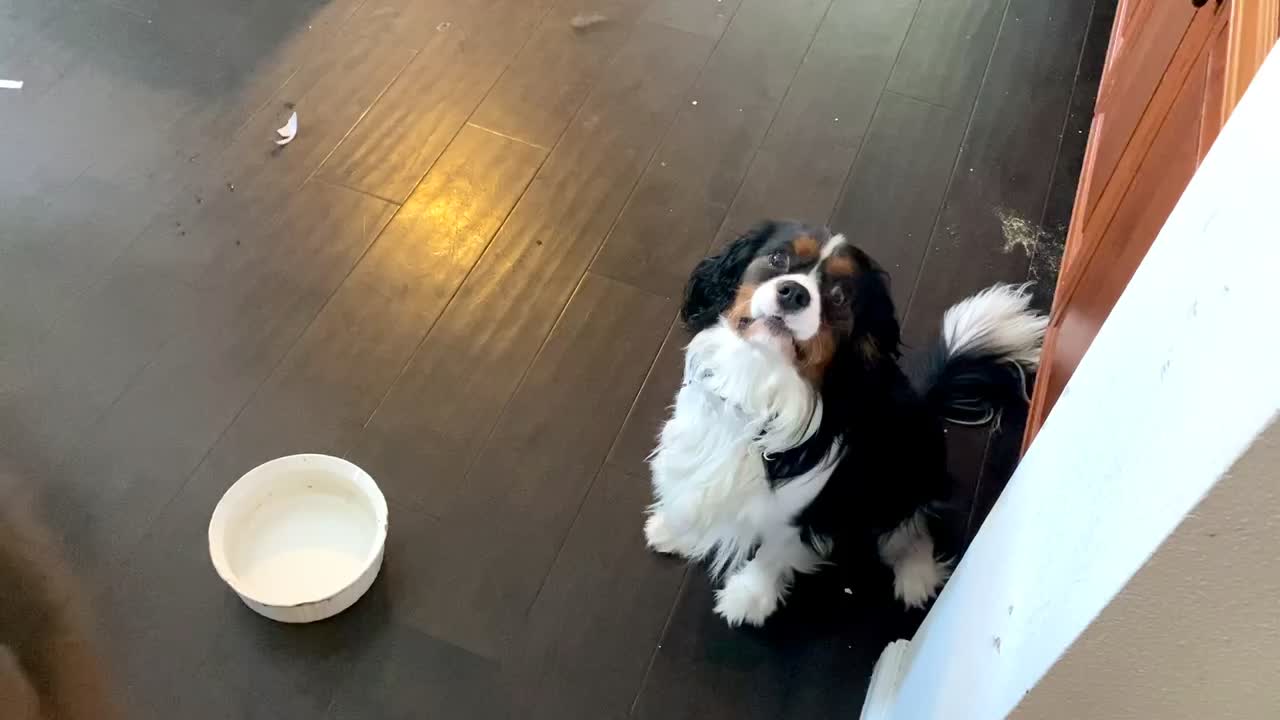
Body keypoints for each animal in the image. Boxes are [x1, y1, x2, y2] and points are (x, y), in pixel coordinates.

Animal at [645, 219, 1044, 622]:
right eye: (777, 259)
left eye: (838, 297)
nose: (793, 293)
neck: (760, 375)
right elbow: (691, 491)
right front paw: (675, 531)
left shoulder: (804, 511)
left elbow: (771, 555)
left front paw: (749, 599)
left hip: (907, 474)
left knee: (912, 525)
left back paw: (916, 577)